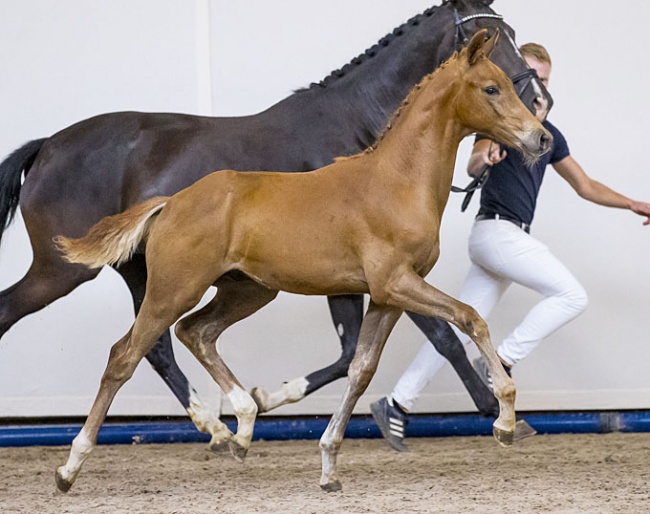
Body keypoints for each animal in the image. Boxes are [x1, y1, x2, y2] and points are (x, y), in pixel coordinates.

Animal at [0, 0, 548, 440]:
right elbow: (442, 337)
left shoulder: (351, 280)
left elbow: (353, 352)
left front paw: (270, 398)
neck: (361, 136)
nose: (540, 108)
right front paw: (493, 409)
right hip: (65, 270)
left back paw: (214, 425)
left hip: (143, 271)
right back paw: (213, 425)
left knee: (155, 345)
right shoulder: (384, 276)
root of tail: (46, 147)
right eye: (493, 37)